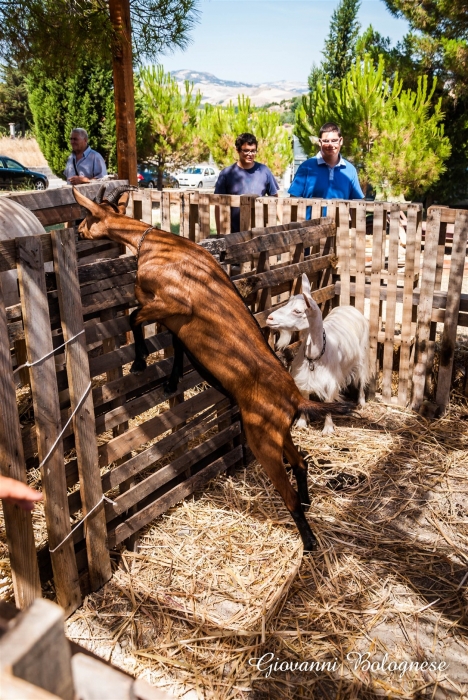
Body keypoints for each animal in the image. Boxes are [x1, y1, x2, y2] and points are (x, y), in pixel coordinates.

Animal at [74, 187, 352, 552]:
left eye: (88, 215)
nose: (76, 230)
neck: (155, 242)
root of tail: (296, 398)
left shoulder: (173, 303)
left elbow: (133, 317)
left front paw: (139, 361)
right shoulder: (172, 317)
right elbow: (175, 342)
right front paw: (171, 380)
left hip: (261, 438)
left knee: (288, 491)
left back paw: (308, 542)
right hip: (279, 432)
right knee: (301, 462)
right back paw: (308, 503)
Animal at [266, 274, 370, 434]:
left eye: (297, 311)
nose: (269, 318)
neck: (314, 356)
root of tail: (349, 307)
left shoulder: (330, 381)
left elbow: (328, 401)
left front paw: (327, 428)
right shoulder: (303, 378)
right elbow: (305, 397)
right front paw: (302, 423)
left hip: (363, 356)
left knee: (361, 378)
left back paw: (362, 401)